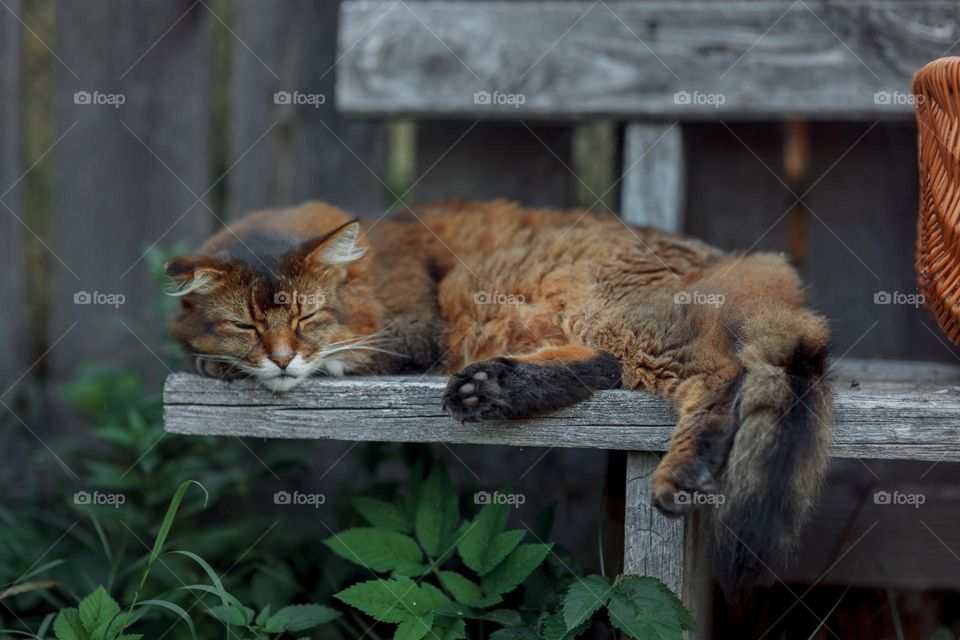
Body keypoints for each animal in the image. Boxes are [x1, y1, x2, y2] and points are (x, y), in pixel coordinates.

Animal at [165, 199, 832, 596]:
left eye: (307, 318)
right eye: (245, 326)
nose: (280, 359)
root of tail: (742, 265)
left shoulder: (415, 330)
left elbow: (344, 354)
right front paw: (217, 360)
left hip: (610, 311)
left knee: (718, 375)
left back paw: (681, 471)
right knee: (608, 367)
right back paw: (493, 387)